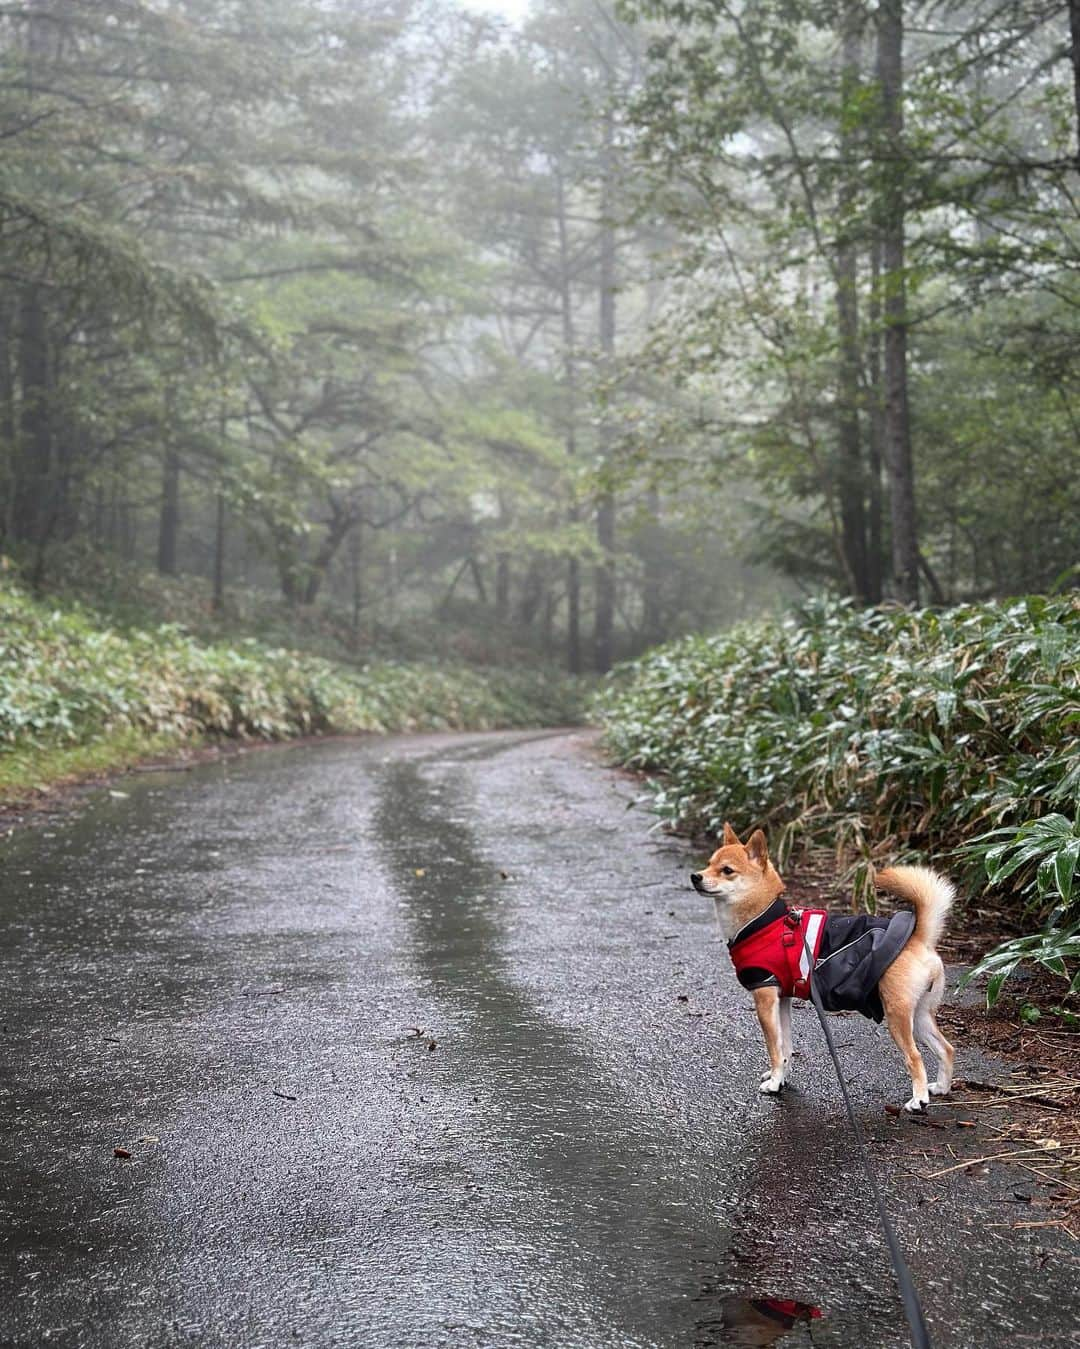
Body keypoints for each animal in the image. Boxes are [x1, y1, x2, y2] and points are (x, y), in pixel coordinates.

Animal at [690, 825, 954, 1111]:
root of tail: (918, 939)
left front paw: (774, 1083)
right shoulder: (782, 1000)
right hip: (919, 1016)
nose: (695, 877)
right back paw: (942, 1087)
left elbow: (774, 1048)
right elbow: (785, 1047)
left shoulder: (764, 999)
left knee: (915, 1057)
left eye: (726, 870)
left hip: (897, 1016)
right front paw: (781, 1077)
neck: (763, 921)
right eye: (709, 864)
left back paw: (919, 1099)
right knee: (946, 1049)